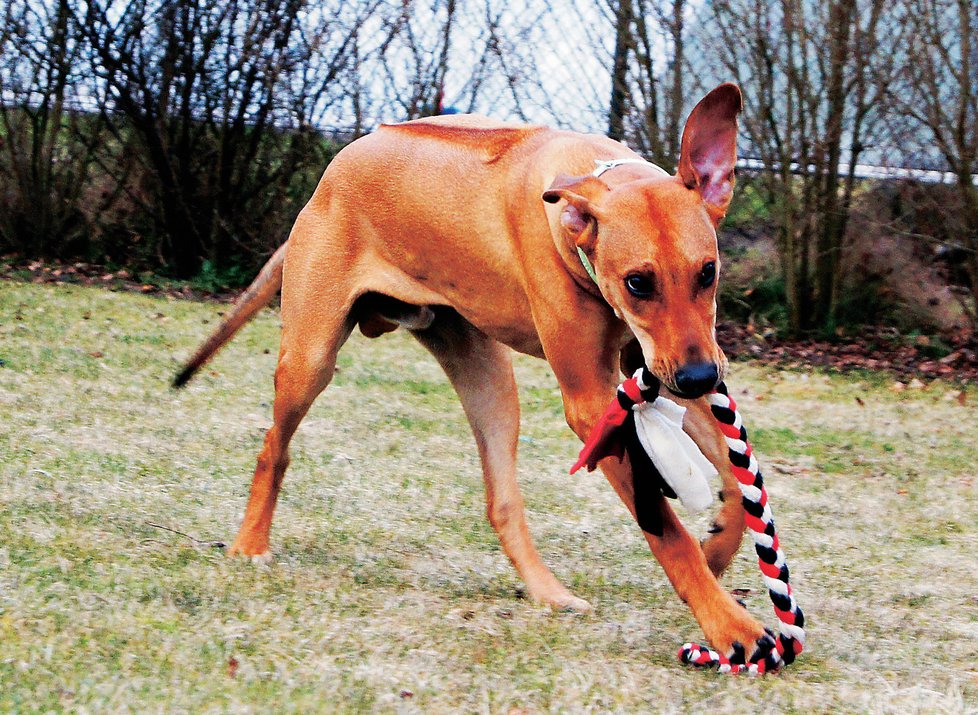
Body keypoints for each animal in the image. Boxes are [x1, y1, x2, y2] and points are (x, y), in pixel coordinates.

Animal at [177, 82, 772, 660]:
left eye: (708, 272)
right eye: (638, 283)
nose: (700, 379)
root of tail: (330, 176)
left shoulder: (661, 367)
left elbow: (738, 475)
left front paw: (719, 547)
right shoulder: (595, 405)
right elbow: (666, 530)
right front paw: (731, 628)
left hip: (487, 378)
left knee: (501, 501)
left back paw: (547, 593)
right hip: (311, 357)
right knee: (273, 446)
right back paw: (249, 544)